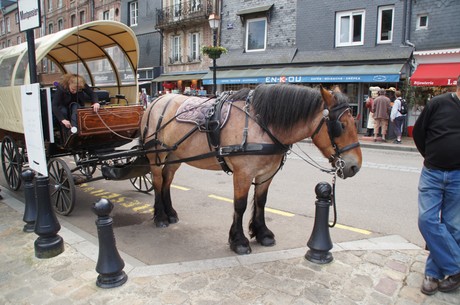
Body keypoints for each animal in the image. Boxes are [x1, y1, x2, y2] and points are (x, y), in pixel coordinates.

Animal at [140, 83, 362, 254]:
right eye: (341, 126)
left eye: (354, 121)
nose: (355, 166)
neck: (262, 125)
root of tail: (156, 101)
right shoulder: (243, 174)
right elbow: (240, 205)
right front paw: (238, 240)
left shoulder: (266, 174)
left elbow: (261, 202)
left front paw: (262, 233)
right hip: (156, 155)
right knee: (158, 181)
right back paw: (160, 217)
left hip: (175, 156)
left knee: (167, 181)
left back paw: (170, 213)